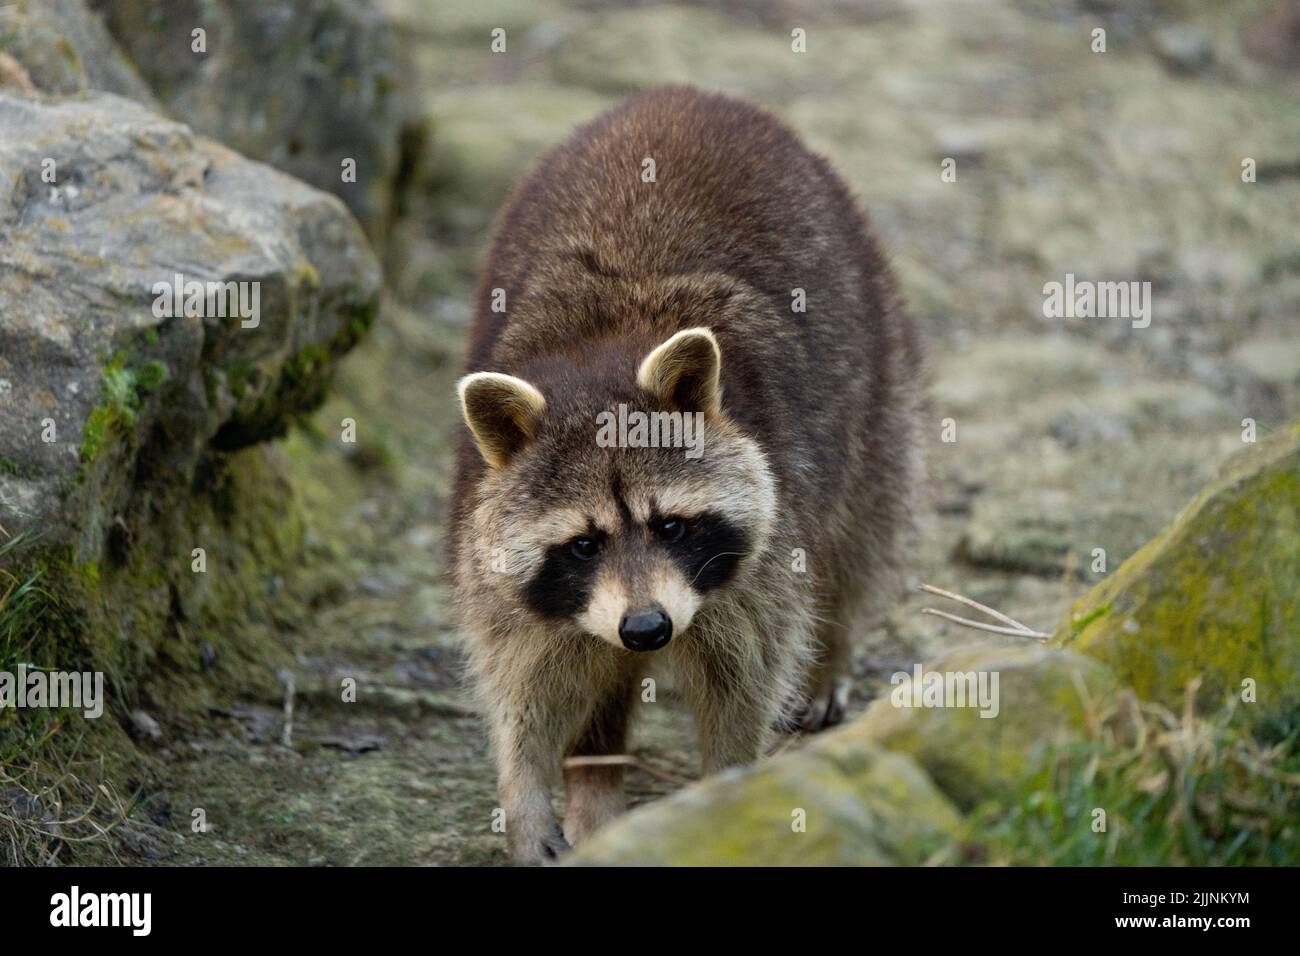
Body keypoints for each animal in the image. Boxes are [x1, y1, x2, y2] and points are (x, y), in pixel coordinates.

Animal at [452, 87, 930, 868]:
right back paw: (595, 783)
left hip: (877, 361)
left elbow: (746, 676)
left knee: (862, 530)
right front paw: (524, 790)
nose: (647, 628)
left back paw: (831, 645)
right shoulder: (496, 556)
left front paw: (727, 797)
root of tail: (682, 96)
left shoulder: (766, 550)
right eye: (584, 544)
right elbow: (526, 675)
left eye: (671, 525)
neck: (600, 355)